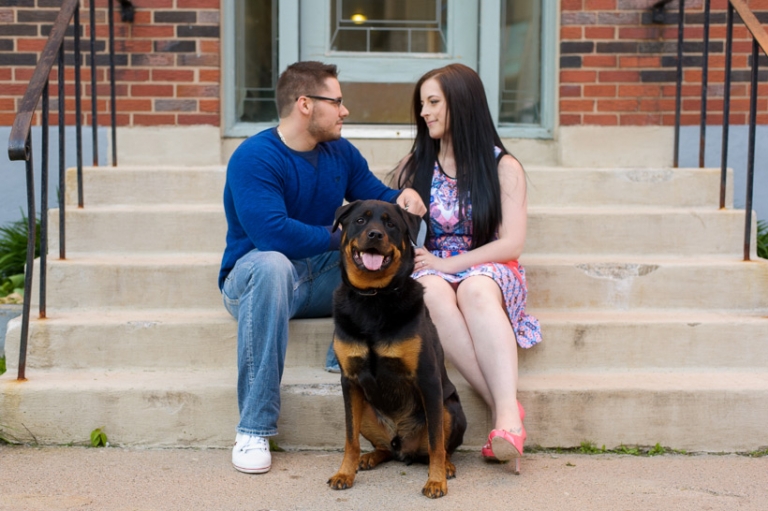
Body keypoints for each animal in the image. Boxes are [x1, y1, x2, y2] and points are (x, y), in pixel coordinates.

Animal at [326, 200, 464, 500]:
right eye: (360, 220)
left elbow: (436, 441)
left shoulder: (428, 380)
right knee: (384, 447)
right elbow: (350, 438)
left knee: (441, 446)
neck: (373, 296)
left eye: (391, 224)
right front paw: (344, 473)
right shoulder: (350, 382)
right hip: (366, 408)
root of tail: (404, 447)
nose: (375, 234)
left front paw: (436, 481)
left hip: (449, 408)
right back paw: (370, 457)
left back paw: (447, 466)